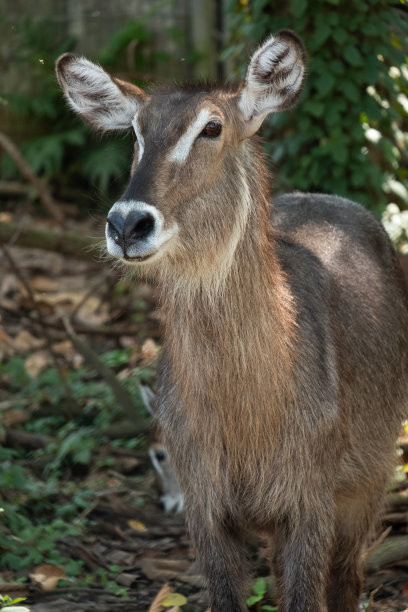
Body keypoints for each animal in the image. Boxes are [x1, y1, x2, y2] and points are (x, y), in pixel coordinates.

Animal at [55, 31, 408, 608]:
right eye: (136, 130)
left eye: (212, 127)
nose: (128, 223)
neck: (246, 417)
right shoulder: (207, 511)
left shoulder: (310, 503)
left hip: (369, 481)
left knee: (347, 580)